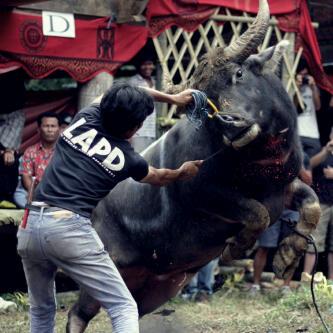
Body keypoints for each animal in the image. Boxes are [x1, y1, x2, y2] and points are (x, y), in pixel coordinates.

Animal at [67, 1, 320, 330]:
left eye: (239, 73)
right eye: (207, 97)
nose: (229, 123)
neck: (258, 163)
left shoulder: (284, 188)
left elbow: (312, 205)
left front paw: (287, 256)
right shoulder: (204, 195)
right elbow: (257, 213)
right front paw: (237, 247)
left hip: (156, 287)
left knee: (131, 310)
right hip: (103, 271)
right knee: (78, 313)